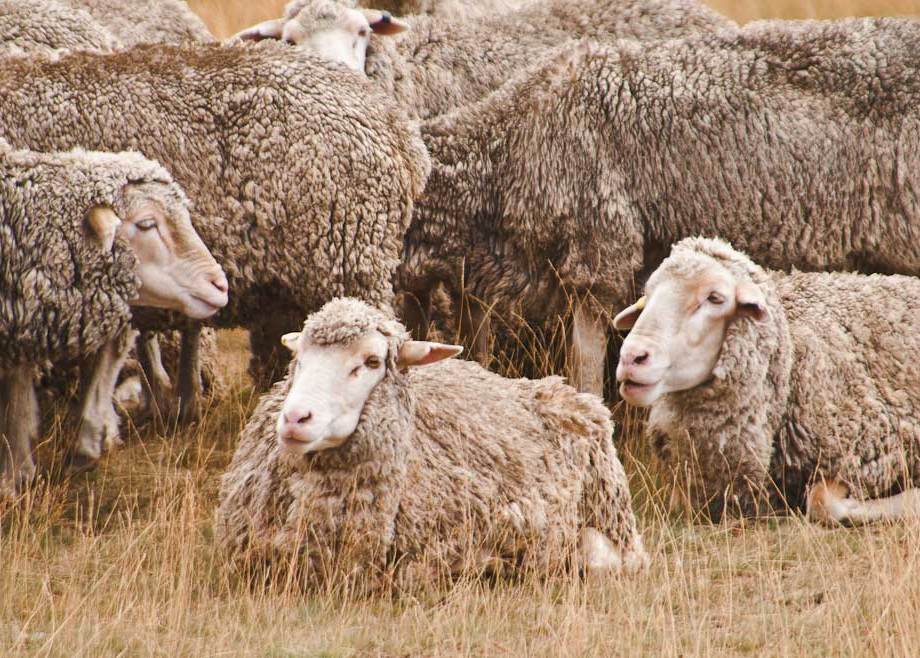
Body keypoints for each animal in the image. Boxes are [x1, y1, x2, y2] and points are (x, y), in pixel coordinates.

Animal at [612, 237, 920, 523]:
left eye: (714, 298)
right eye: (648, 294)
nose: (631, 357)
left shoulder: (875, 450)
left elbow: (822, 503)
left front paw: (910, 499)